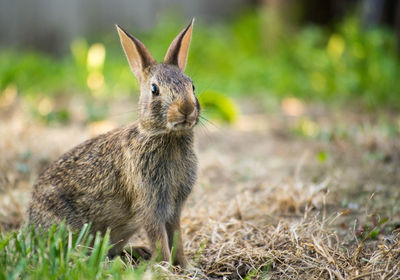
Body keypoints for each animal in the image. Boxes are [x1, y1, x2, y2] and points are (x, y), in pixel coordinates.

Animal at [26, 18, 198, 268]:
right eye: (154, 90)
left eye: (192, 86)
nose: (186, 108)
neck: (166, 137)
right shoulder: (150, 206)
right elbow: (160, 240)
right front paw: (165, 267)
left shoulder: (174, 209)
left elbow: (177, 238)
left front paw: (186, 267)